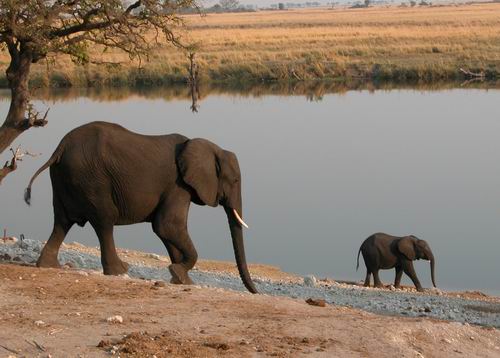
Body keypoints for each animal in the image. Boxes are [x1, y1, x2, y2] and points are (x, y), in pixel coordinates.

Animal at [24, 121, 258, 292]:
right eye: (235, 180)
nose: (255, 292)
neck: (207, 147)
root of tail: (60, 147)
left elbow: (165, 230)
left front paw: (182, 279)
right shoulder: (178, 185)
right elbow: (168, 225)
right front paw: (179, 273)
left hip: (66, 178)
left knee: (62, 221)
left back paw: (49, 266)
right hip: (92, 179)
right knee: (104, 221)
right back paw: (119, 270)